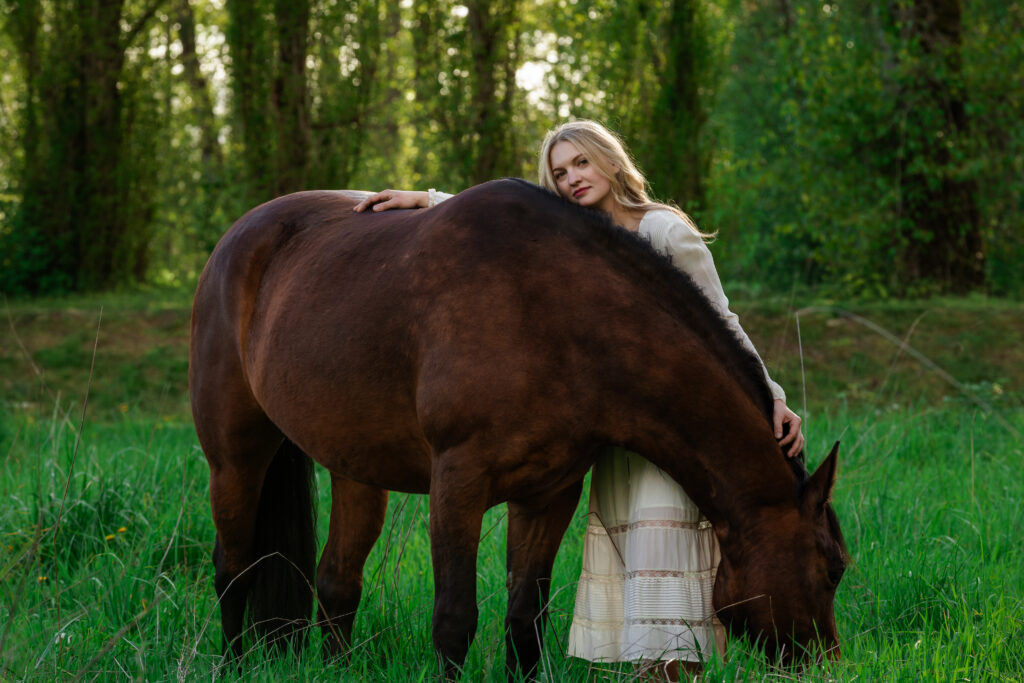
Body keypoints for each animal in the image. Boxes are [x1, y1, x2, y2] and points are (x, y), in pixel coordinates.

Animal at [189, 179, 847, 679]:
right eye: (833, 566)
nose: (828, 664)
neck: (555, 315)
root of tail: (239, 236)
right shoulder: (458, 484)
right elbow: (455, 619)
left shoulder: (549, 492)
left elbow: (524, 616)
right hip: (235, 458)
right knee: (233, 564)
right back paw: (229, 662)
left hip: (356, 466)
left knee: (336, 582)